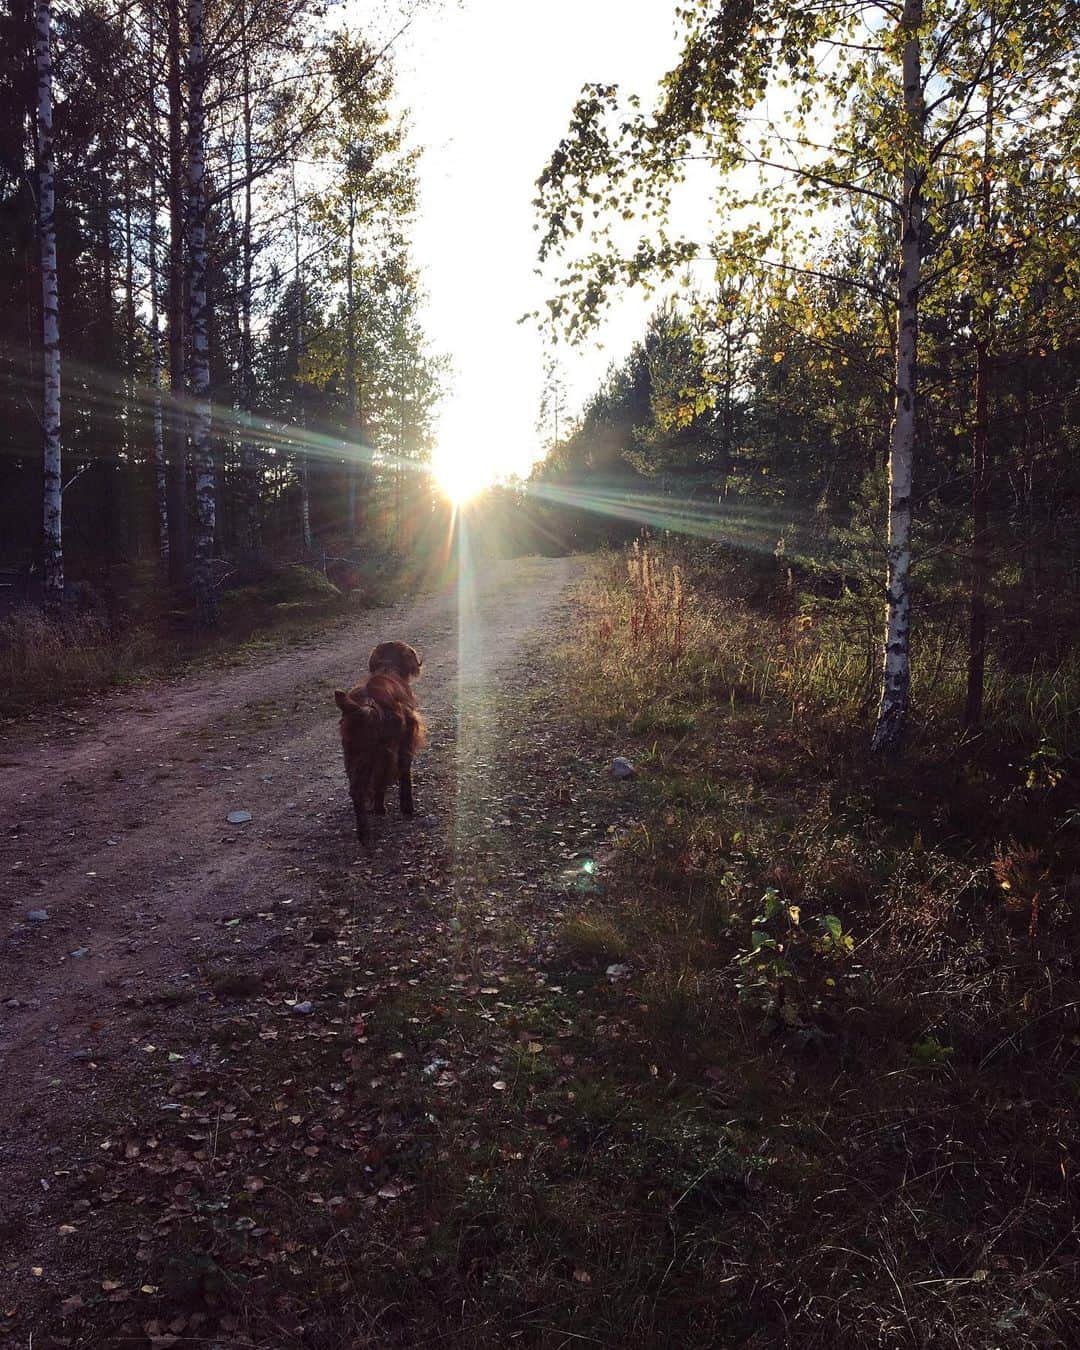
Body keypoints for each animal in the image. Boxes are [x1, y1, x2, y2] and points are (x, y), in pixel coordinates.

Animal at [334, 637, 423, 837]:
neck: (387, 668)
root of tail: (367, 705)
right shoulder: (407, 738)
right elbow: (405, 773)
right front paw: (407, 806)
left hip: (354, 753)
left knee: (358, 790)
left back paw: (364, 832)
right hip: (384, 751)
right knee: (379, 780)